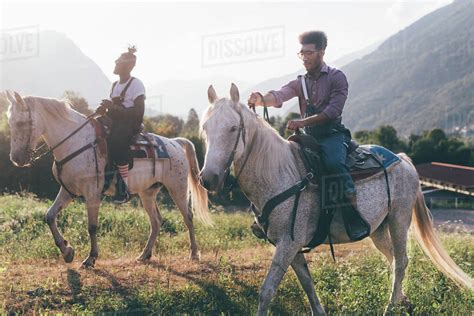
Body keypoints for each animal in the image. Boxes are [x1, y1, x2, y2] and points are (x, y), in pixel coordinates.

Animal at [5, 90, 211, 268]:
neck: (76, 142)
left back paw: (194, 253)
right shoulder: (68, 191)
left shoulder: (92, 194)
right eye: (10, 122)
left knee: (188, 217)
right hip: (148, 192)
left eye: (22, 123)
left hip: (178, 188)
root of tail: (175, 142)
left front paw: (90, 258)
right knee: (156, 221)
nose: (16, 159)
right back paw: (145, 254)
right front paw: (67, 251)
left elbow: (92, 226)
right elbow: (49, 216)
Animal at [201, 84, 474, 316]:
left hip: (399, 220)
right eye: (205, 129)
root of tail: (403, 160)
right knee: (393, 260)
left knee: (401, 261)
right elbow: (307, 283)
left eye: (233, 128)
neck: (280, 175)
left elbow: (266, 291)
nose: (208, 178)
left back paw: (390, 307)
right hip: (378, 229)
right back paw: (403, 301)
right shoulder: (290, 246)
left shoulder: (288, 243)